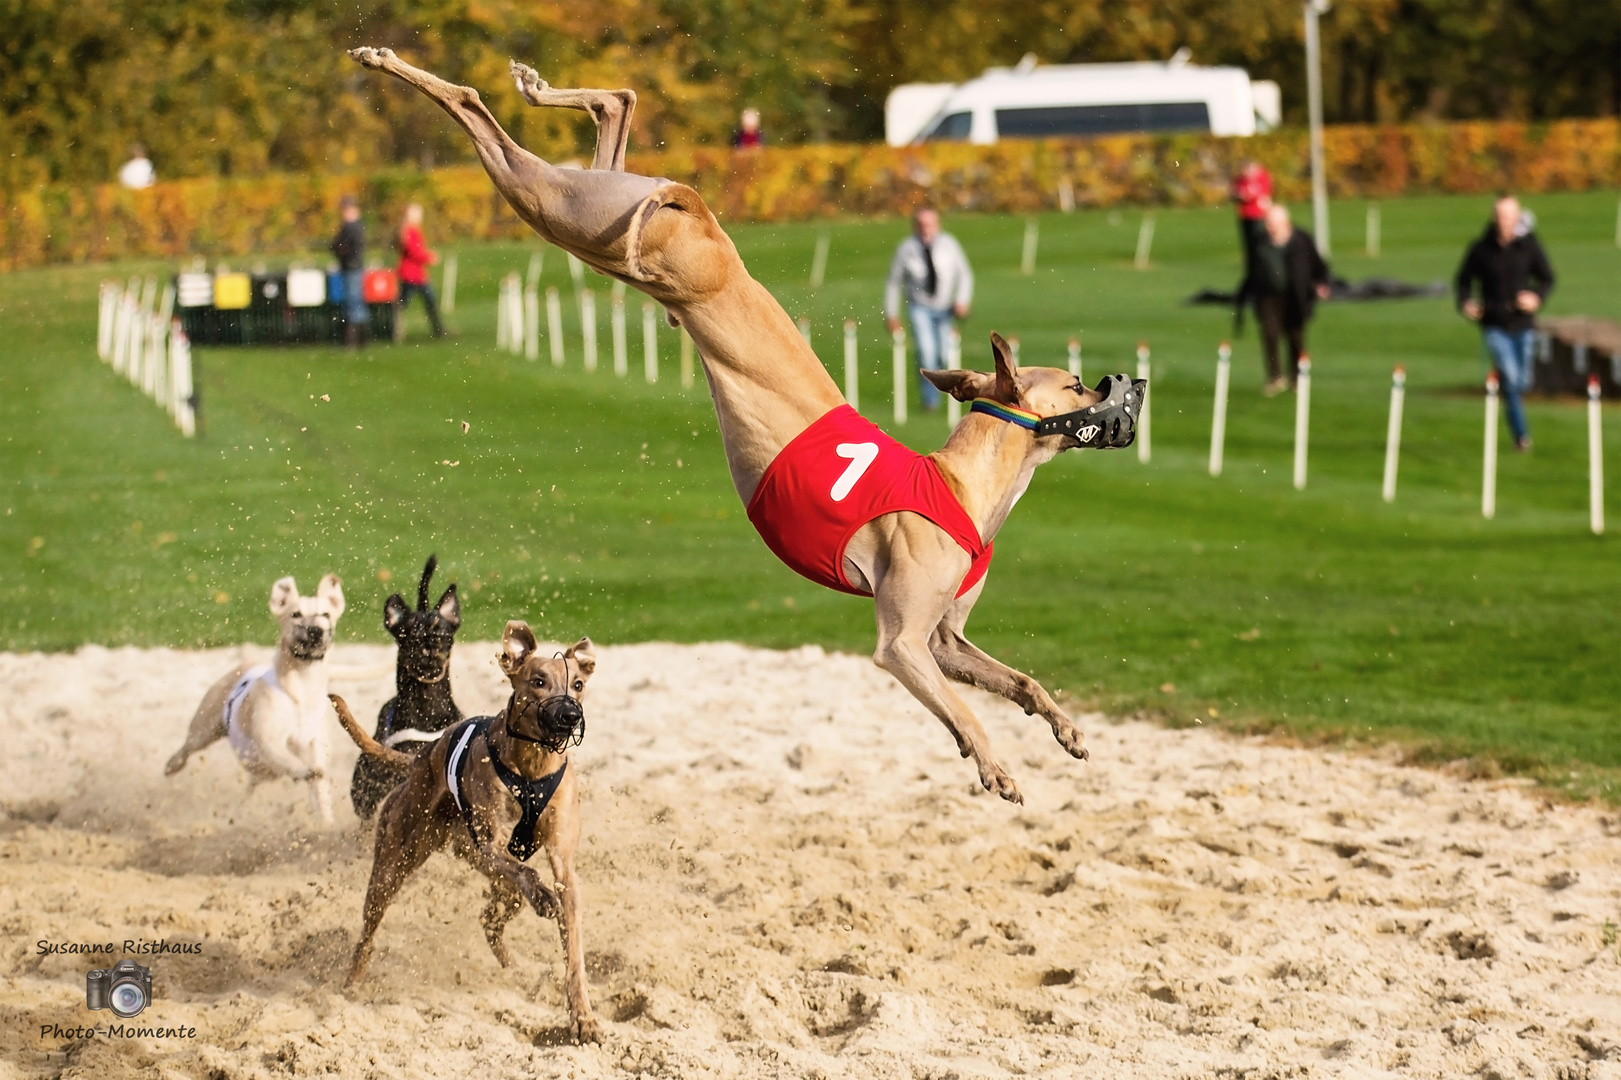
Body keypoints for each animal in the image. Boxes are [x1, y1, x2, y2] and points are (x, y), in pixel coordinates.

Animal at [164, 577, 348, 820]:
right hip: (205, 728)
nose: (316, 630)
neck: (301, 686)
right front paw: (304, 770)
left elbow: (320, 786)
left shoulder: (315, 742)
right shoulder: (270, 741)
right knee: (188, 747)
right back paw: (172, 765)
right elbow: (290, 759)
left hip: (259, 771)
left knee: (253, 786)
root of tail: (248, 661)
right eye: (295, 614)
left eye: (326, 614)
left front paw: (326, 819)